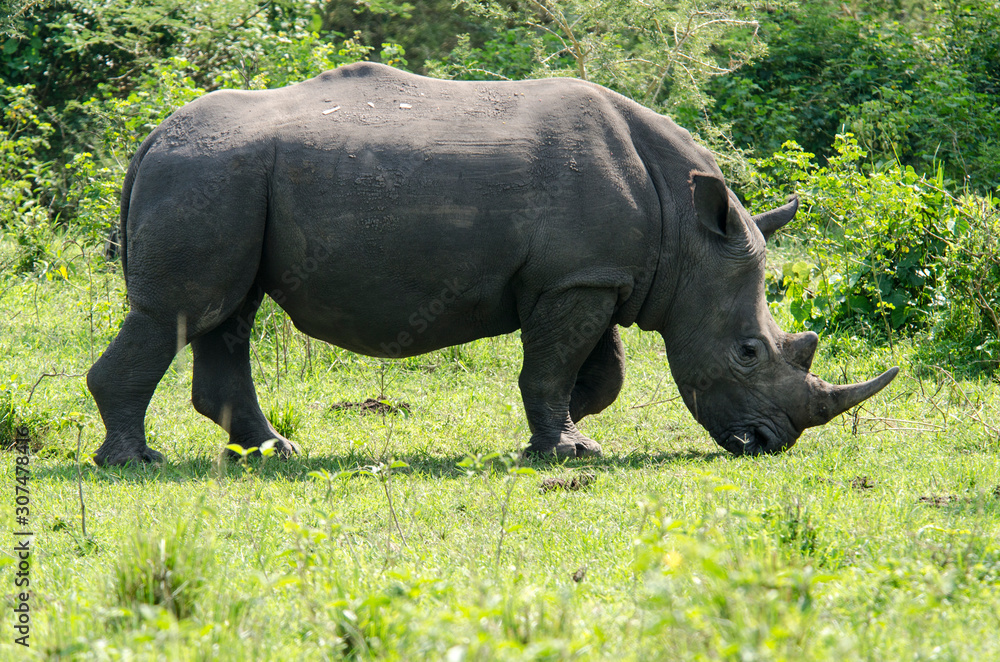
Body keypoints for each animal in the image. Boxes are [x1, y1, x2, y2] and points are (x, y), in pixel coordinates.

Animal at [87, 62, 898, 466]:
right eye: (750, 351)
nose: (770, 443)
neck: (688, 235)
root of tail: (150, 139)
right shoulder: (580, 278)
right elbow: (551, 365)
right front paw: (569, 451)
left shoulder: (589, 273)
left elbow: (595, 372)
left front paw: (564, 434)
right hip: (208, 174)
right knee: (178, 312)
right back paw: (135, 462)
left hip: (225, 177)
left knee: (228, 312)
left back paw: (272, 452)